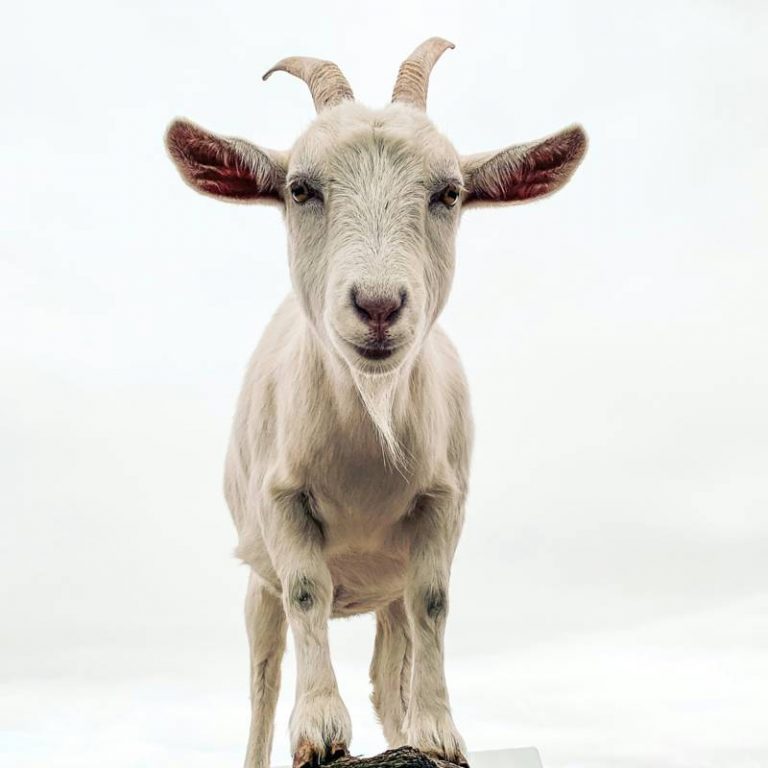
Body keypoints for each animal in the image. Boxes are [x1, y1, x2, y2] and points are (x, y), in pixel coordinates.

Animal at [165, 37, 587, 768]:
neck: (370, 425)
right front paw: (318, 728)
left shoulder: (442, 505)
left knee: (391, 671)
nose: (380, 305)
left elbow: (434, 605)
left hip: (384, 592)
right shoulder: (282, 501)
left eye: (449, 193)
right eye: (300, 188)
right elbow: (307, 593)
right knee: (263, 676)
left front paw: (439, 732)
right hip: (256, 581)